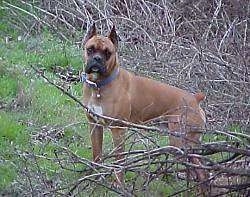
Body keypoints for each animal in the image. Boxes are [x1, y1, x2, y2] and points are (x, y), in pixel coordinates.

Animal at [82, 23, 209, 194]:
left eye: (107, 53)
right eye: (90, 49)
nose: (97, 59)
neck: (99, 86)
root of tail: (195, 99)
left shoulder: (118, 130)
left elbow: (119, 160)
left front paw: (118, 185)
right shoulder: (94, 126)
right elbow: (97, 155)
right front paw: (94, 179)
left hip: (181, 142)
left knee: (202, 172)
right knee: (198, 171)